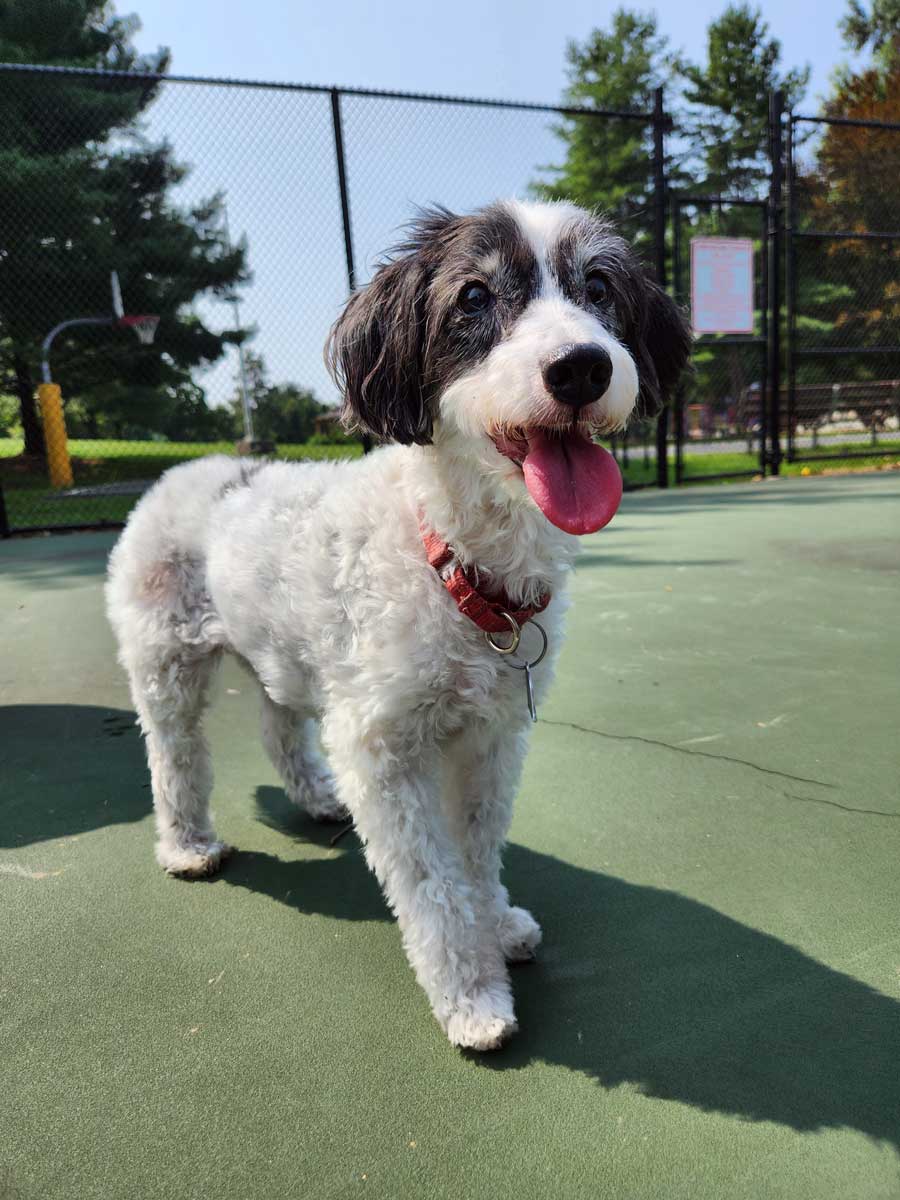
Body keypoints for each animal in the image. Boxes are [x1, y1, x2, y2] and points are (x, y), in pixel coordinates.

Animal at [105, 199, 691, 1051]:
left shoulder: (492, 736)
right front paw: (471, 996)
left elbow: (476, 850)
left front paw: (496, 925)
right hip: (165, 658)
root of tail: (185, 470)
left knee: (279, 725)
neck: (452, 560)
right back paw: (187, 846)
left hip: (288, 657)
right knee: (175, 754)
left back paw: (317, 797)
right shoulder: (383, 747)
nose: (582, 366)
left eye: (600, 288)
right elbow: (433, 884)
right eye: (474, 296)